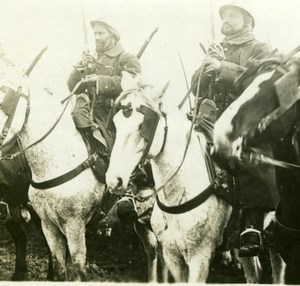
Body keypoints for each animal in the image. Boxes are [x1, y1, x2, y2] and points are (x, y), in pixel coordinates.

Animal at [0, 61, 164, 282]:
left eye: (7, 97)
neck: (55, 161)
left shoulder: (74, 226)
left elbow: (79, 270)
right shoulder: (48, 226)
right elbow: (59, 268)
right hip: (141, 220)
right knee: (152, 248)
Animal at [105, 72, 286, 282]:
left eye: (142, 125)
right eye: (116, 123)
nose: (114, 180)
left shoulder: (199, 257)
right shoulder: (172, 255)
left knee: (278, 267)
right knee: (254, 271)